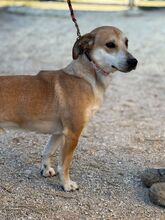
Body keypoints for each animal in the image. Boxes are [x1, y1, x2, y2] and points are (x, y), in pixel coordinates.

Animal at [0, 26, 137, 191]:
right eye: (110, 44)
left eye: (126, 42)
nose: (134, 62)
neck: (86, 77)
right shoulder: (72, 134)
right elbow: (64, 165)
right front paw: (66, 184)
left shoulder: (58, 132)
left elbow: (47, 152)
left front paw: (46, 170)